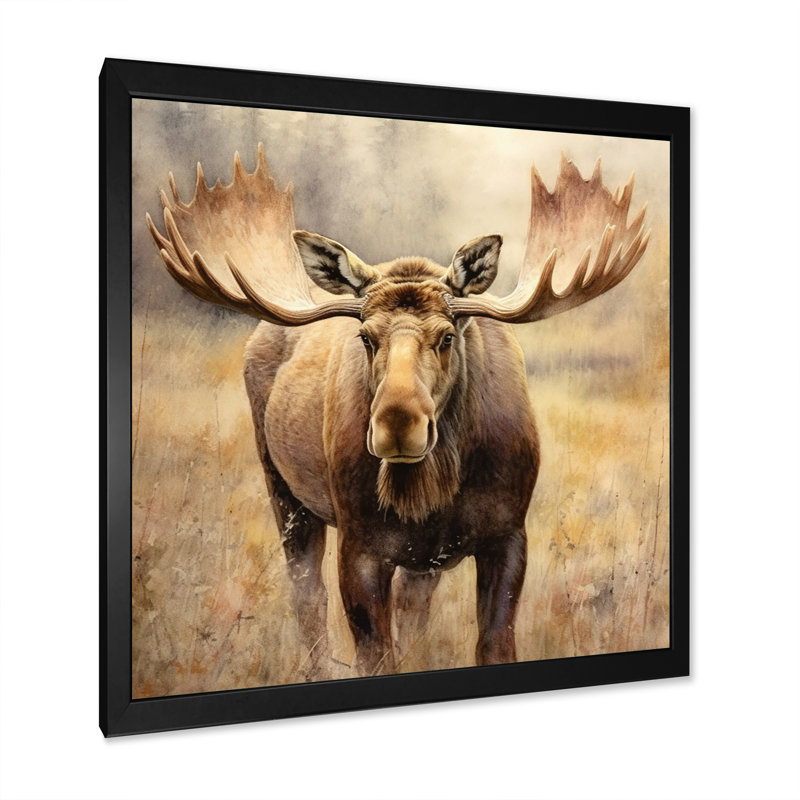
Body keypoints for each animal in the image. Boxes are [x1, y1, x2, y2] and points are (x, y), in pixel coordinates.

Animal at [146, 144, 649, 677]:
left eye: (448, 335)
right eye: (365, 336)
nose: (397, 426)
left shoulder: (509, 532)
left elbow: (492, 643)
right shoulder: (360, 542)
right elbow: (374, 652)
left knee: (410, 609)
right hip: (282, 486)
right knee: (307, 596)